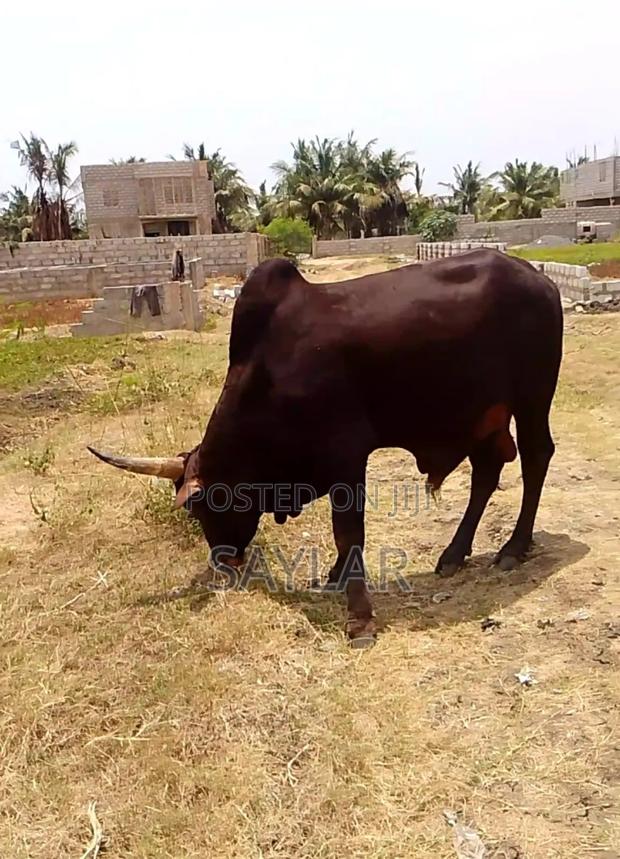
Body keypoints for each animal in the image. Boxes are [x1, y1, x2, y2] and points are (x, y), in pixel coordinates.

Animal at [89, 250, 563, 646]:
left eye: (200, 507)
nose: (224, 563)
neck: (267, 371)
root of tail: (540, 278)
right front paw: (336, 576)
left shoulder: (347, 456)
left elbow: (349, 531)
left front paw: (360, 617)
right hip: (484, 416)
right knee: (486, 472)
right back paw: (453, 554)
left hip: (532, 399)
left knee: (536, 457)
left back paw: (514, 548)